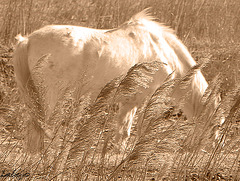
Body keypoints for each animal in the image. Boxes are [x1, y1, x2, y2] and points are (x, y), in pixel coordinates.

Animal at [12, 8, 216, 153]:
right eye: (216, 123)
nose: (208, 149)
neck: (164, 51)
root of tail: (27, 40)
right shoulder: (148, 100)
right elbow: (140, 128)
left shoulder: (130, 101)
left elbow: (123, 130)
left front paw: (119, 151)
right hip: (51, 96)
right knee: (45, 124)